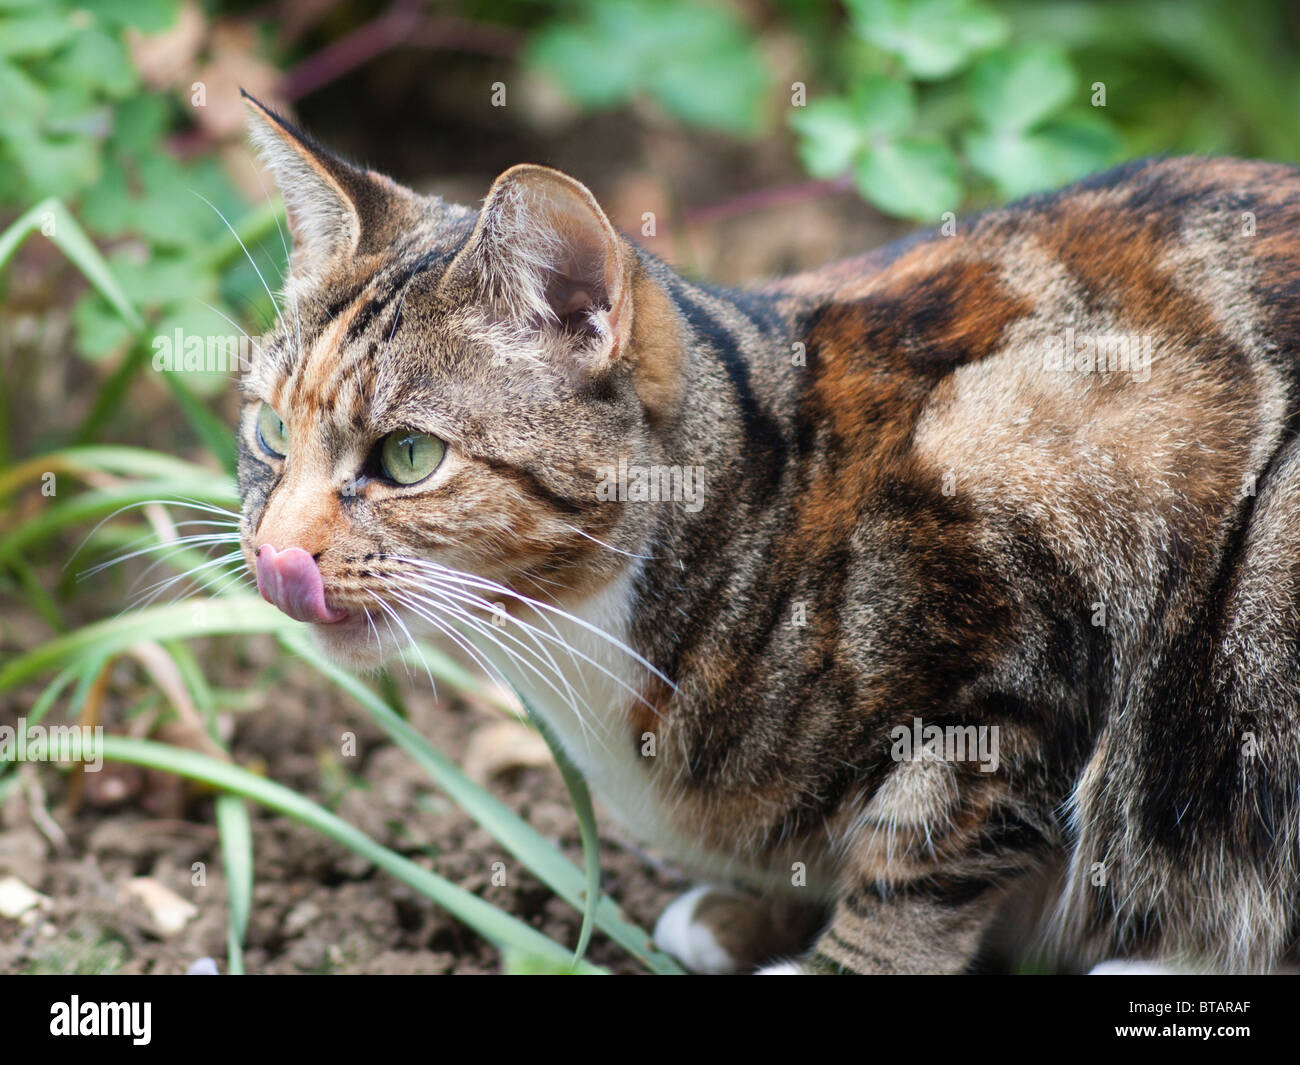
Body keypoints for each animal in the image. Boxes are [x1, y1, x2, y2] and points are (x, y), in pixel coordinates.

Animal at [239, 95, 1300, 977]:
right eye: (271, 433)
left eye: (409, 454)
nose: (275, 552)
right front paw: (748, 916)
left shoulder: (1028, 626)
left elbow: (917, 868)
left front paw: (835, 959)